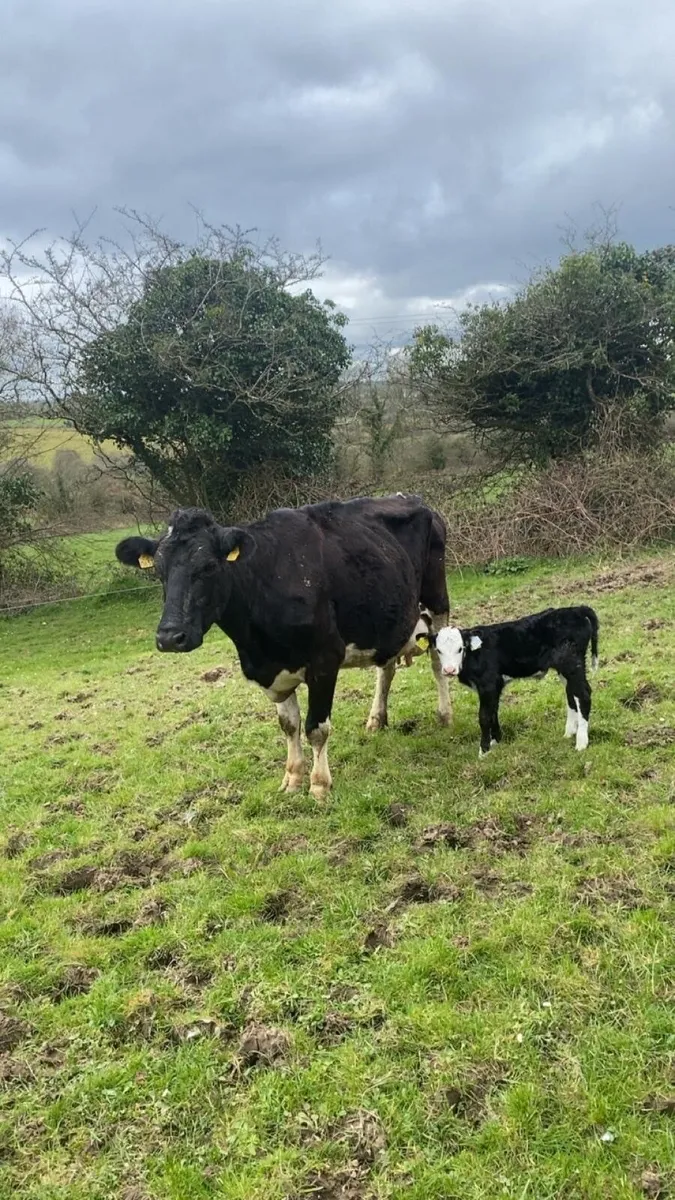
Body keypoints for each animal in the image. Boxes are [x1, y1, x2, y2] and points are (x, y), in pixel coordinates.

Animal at [115, 494, 451, 799]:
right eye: (159, 570)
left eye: (208, 567)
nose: (170, 637)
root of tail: (413, 499)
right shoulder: (271, 670)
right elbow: (289, 725)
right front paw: (292, 779)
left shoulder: (325, 660)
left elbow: (316, 727)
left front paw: (319, 786)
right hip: (389, 619)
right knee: (387, 668)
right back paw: (376, 719)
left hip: (438, 602)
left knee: (438, 661)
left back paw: (445, 714)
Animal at [419, 605, 599, 757]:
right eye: (439, 650)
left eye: (460, 649)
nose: (449, 670)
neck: (474, 654)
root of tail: (576, 609)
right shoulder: (494, 687)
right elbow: (493, 712)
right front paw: (495, 741)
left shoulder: (488, 684)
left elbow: (484, 716)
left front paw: (483, 751)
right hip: (564, 669)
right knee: (571, 695)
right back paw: (569, 733)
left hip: (572, 663)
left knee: (583, 694)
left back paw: (581, 742)